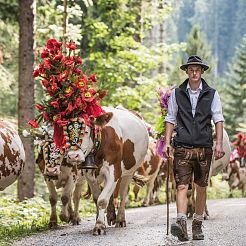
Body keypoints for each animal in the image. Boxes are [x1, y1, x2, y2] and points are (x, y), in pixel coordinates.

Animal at [46, 106, 149, 235]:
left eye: (85, 132)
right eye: (65, 134)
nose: (73, 156)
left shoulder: (114, 172)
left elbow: (102, 200)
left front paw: (99, 226)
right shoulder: (89, 173)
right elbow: (97, 198)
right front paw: (99, 221)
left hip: (129, 172)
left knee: (123, 193)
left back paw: (120, 219)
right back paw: (110, 216)